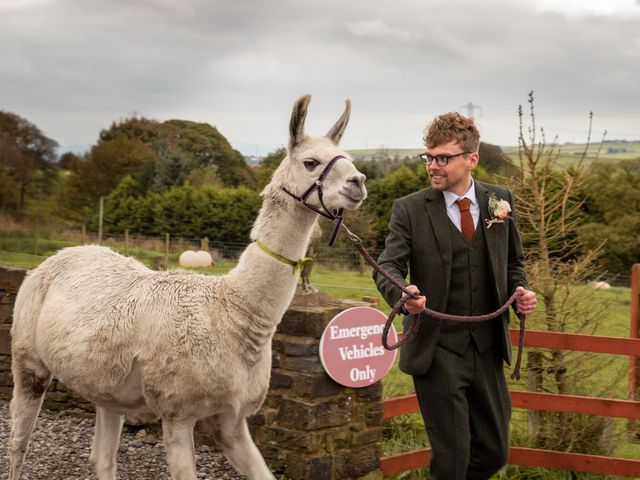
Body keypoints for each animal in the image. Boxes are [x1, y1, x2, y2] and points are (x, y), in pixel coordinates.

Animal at [6, 94, 364, 480]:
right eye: (311, 162)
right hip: (28, 357)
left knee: (102, 456)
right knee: (18, 442)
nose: (358, 183)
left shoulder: (230, 417)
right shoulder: (177, 411)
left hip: (107, 383)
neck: (234, 313)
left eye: (349, 158)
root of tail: (59, 256)